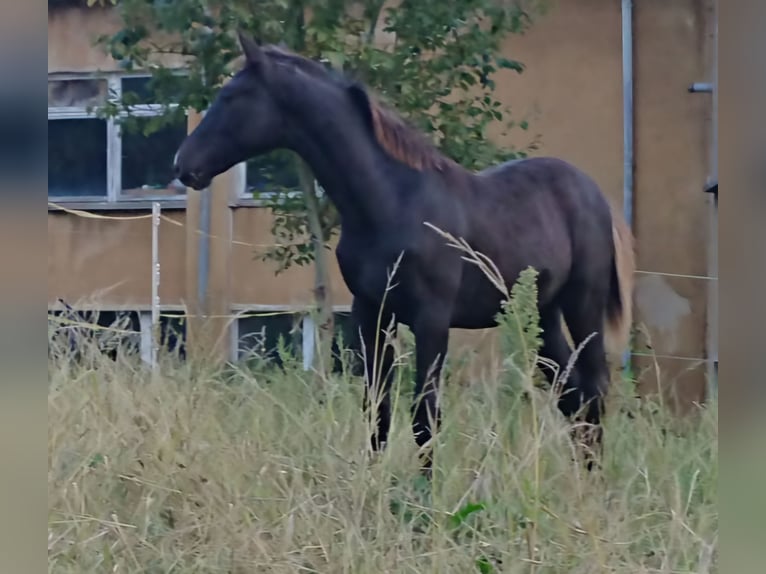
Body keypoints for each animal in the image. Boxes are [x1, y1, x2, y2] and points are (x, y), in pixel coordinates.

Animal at [174, 32, 636, 472]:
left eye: (232, 96)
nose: (183, 165)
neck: (392, 200)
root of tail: (594, 193)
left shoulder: (431, 319)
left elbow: (423, 416)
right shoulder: (371, 314)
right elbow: (376, 410)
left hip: (582, 304)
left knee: (594, 389)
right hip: (542, 314)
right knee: (572, 395)